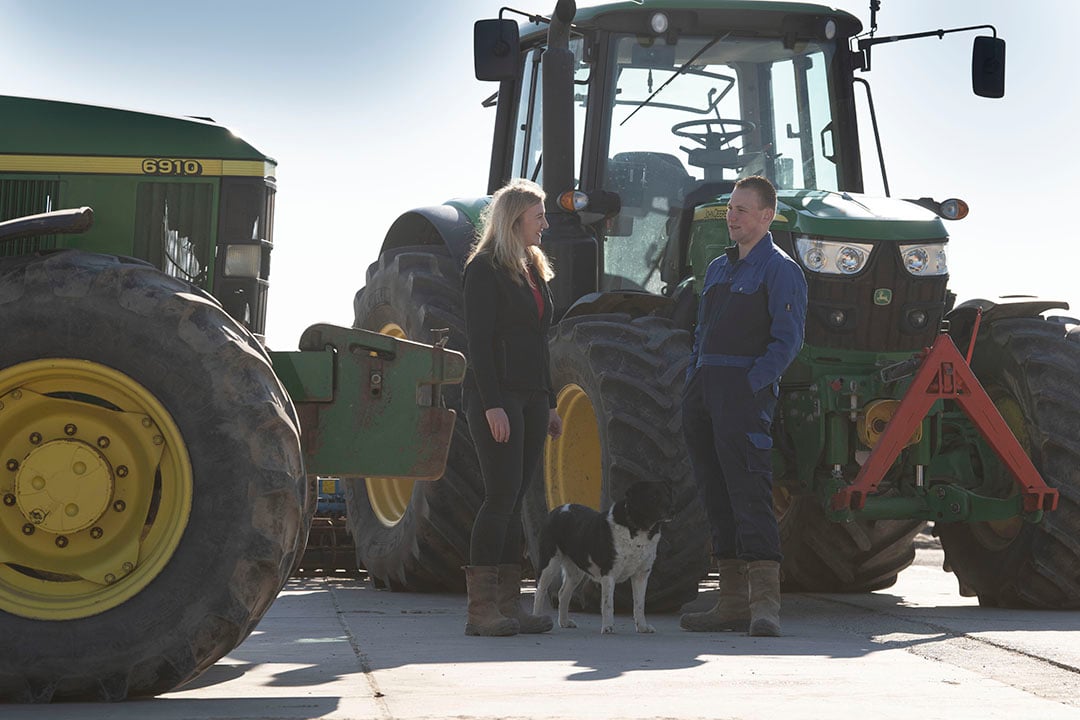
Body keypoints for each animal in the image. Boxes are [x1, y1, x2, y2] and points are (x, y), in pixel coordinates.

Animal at [529, 481, 669, 634]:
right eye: (653, 497)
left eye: (666, 495)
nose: (672, 510)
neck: (638, 530)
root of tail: (557, 510)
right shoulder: (609, 574)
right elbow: (608, 604)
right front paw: (607, 627)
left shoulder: (641, 575)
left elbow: (639, 605)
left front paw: (642, 627)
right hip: (549, 564)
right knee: (540, 592)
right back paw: (538, 619)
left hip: (575, 571)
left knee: (563, 593)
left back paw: (564, 622)